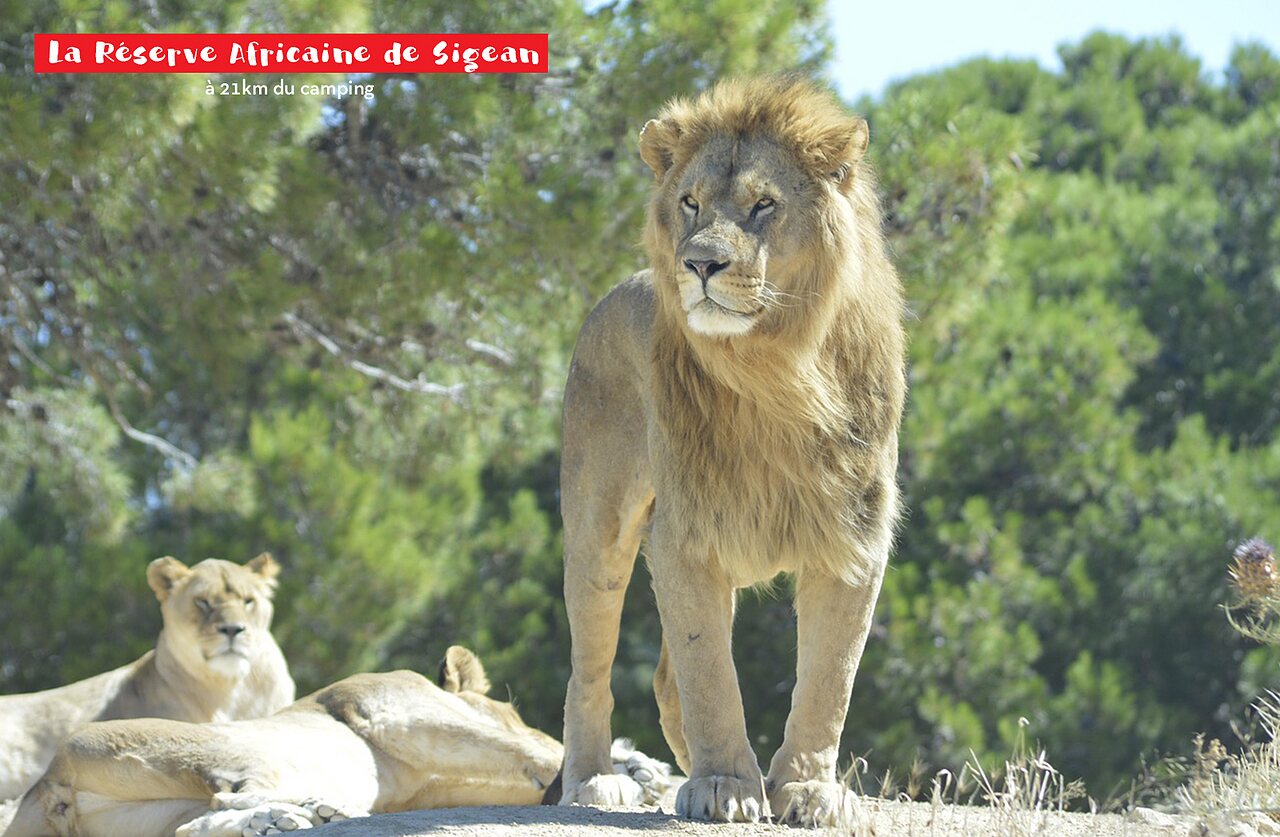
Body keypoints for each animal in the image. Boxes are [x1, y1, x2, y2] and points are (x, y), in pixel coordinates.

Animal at [2, 647, 670, 837]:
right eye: (511, 708)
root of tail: (44, 785)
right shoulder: (394, 708)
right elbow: (536, 751)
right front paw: (628, 777)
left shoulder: (435, 786)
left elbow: (531, 773)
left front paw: (637, 767)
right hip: (221, 748)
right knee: (227, 796)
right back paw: (307, 812)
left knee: (195, 826)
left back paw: (289, 819)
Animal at [558, 76, 906, 826]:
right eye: (690, 202)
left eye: (763, 204)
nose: (699, 262)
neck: (776, 372)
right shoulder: (686, 533)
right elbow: (710, 673)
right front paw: (724, 783)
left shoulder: (853, 539)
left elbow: (829, 681)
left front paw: (806, 788)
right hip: (599, 532)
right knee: (589, 666)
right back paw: (595, 780)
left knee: (666, 676)